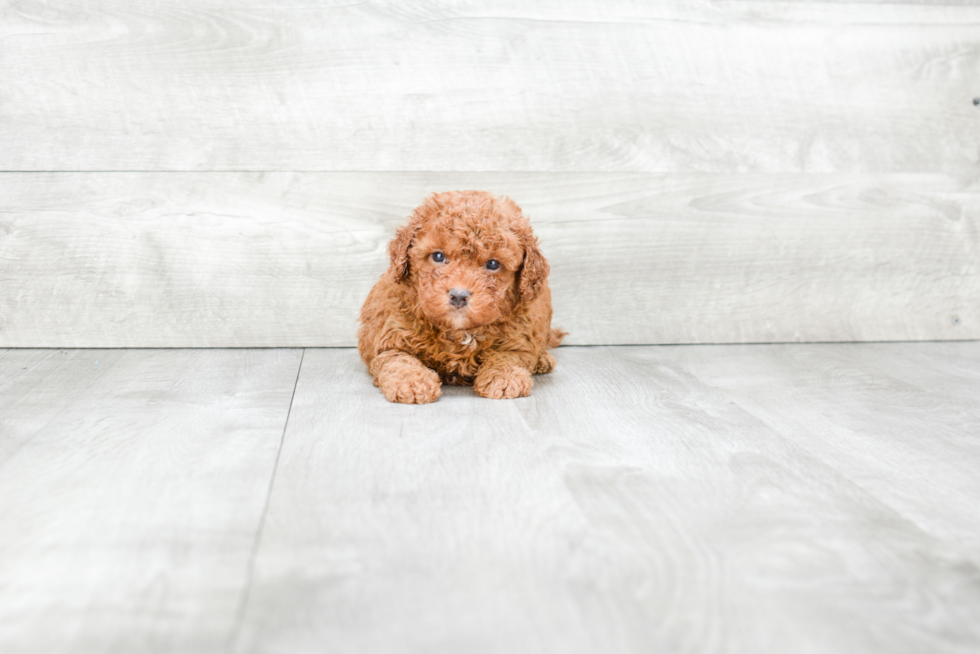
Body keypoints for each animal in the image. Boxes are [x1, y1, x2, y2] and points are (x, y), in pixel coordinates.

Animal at [358, 191, 568, 404]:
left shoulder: (518, 336)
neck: (460, 332)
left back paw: (543, 360)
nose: (459, 296)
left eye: (493, 264)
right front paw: (412, 383)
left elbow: (508, 356)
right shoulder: (391, 339)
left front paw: (504, 378)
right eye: (438, 256)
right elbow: (400, 361)